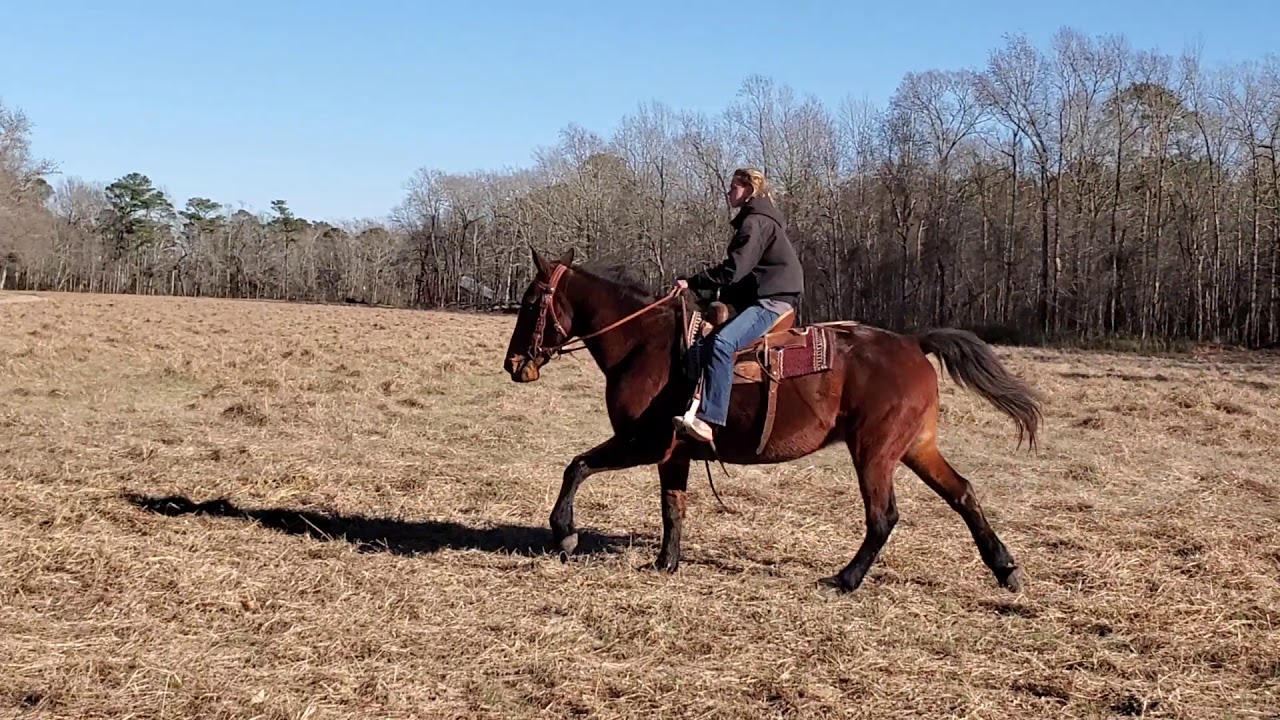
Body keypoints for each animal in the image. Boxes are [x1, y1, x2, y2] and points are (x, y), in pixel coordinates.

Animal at [494, 245, 1044, 589]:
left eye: (531, 301)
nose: (514, 364)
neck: (645, 344)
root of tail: (913, 342)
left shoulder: (645, 442)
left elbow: (577, 466)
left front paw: (564, 533)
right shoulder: (675, 453)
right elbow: (673, 507)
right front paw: (666, 563)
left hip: (874, 452)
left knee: (882, 517)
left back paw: (846, 579)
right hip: (915, 447)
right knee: (962, 493)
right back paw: (1005, 569)